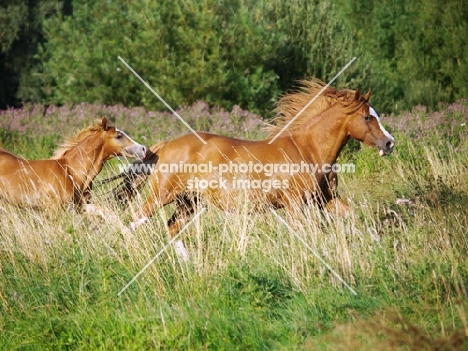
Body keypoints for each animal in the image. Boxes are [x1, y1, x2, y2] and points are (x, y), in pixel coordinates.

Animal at [110, 80, 394, 262]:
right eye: (368, 117)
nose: (389, 143)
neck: (308, 148)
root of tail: (167, 145)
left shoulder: (326, 200)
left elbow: (356, 219)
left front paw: (379, 247)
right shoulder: (295, 205)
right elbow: (308, 235)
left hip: (191, 202)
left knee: (171, 228)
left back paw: (188, 262)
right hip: (163, 195)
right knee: (135, 220)